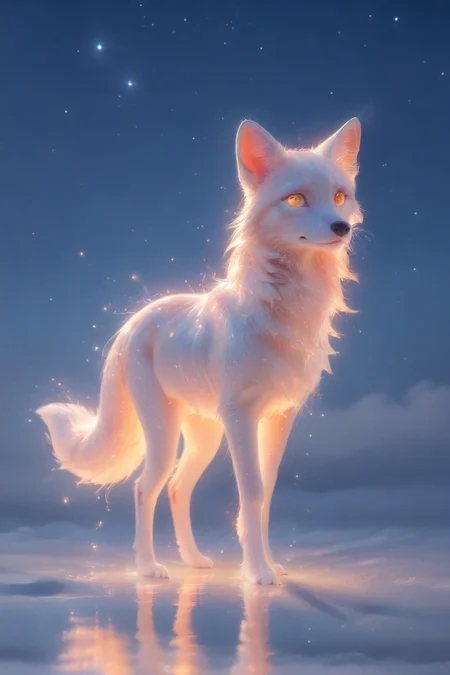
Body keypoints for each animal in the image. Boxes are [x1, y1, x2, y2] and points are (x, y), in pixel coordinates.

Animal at [37, 117, 363, 585]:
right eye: (296, 199)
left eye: (339, 196)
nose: (341, 227)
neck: (282, 309)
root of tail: (134, 321)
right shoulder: (241, 416)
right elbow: (252, 491)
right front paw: (258, 573)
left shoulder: (280, 417)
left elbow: (267, 492)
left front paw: (266, 565)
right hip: (163, 433)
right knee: (145, 487)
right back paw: (148, 567)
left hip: (204, 436)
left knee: (177, 488)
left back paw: (192, 561)